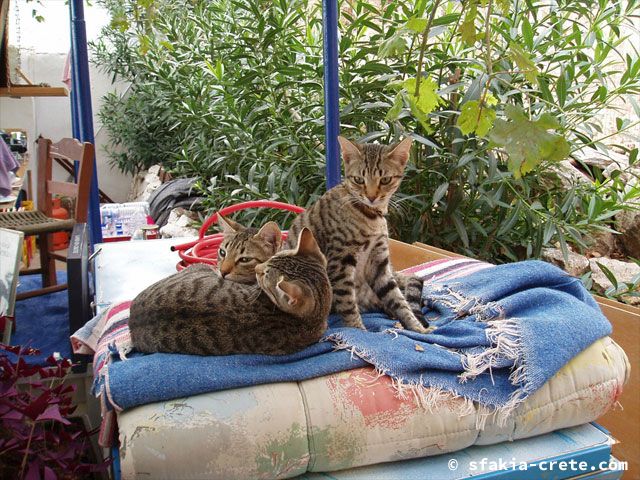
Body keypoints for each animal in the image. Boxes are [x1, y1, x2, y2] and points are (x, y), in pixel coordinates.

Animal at [284, 134, 430, 330]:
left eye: (385, 180)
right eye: (359, 180)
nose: (371, 197)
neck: (370, 216)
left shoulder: (379, 262)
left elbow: (397, 299)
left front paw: (416, 327)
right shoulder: (340, 261)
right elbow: (347, 302)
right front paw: (357, 328)